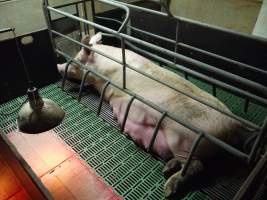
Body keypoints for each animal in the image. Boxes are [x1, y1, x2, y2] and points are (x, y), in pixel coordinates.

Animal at [57, 32, 254, 198]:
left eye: (77, 60)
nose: (59, 65)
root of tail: (234, 125)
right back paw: (167, 169)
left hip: (182, 139)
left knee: (197, 165)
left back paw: (168, 188)